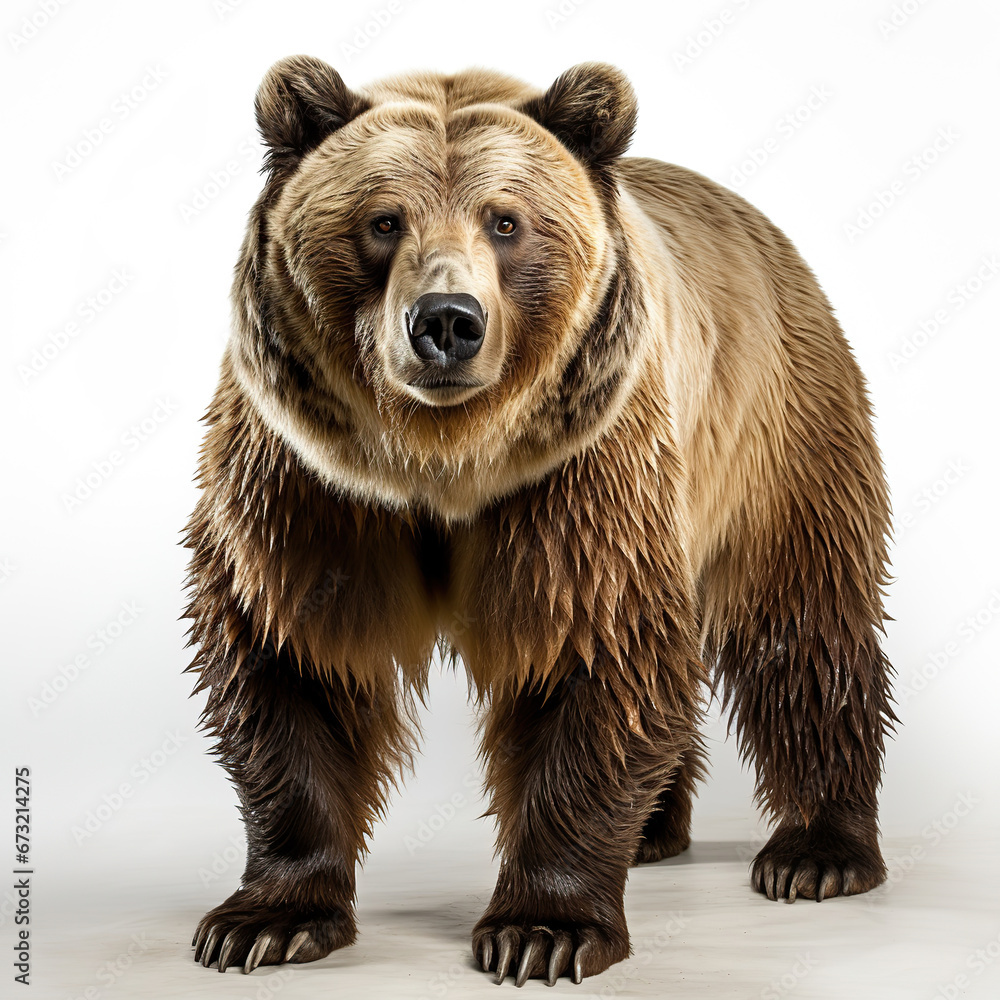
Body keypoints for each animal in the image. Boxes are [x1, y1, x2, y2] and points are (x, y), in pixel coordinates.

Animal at [184, 56, 897, 985]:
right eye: (382, 219)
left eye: (506, 221)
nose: (446, 320)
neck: (442, 458)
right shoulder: (310, 480)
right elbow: (293, 652)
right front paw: (263, 921)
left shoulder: (577, 473)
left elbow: (592, 647)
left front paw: (542, 929)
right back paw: (657, 829)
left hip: (777, 424)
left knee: (805, 622)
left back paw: (817, 852)